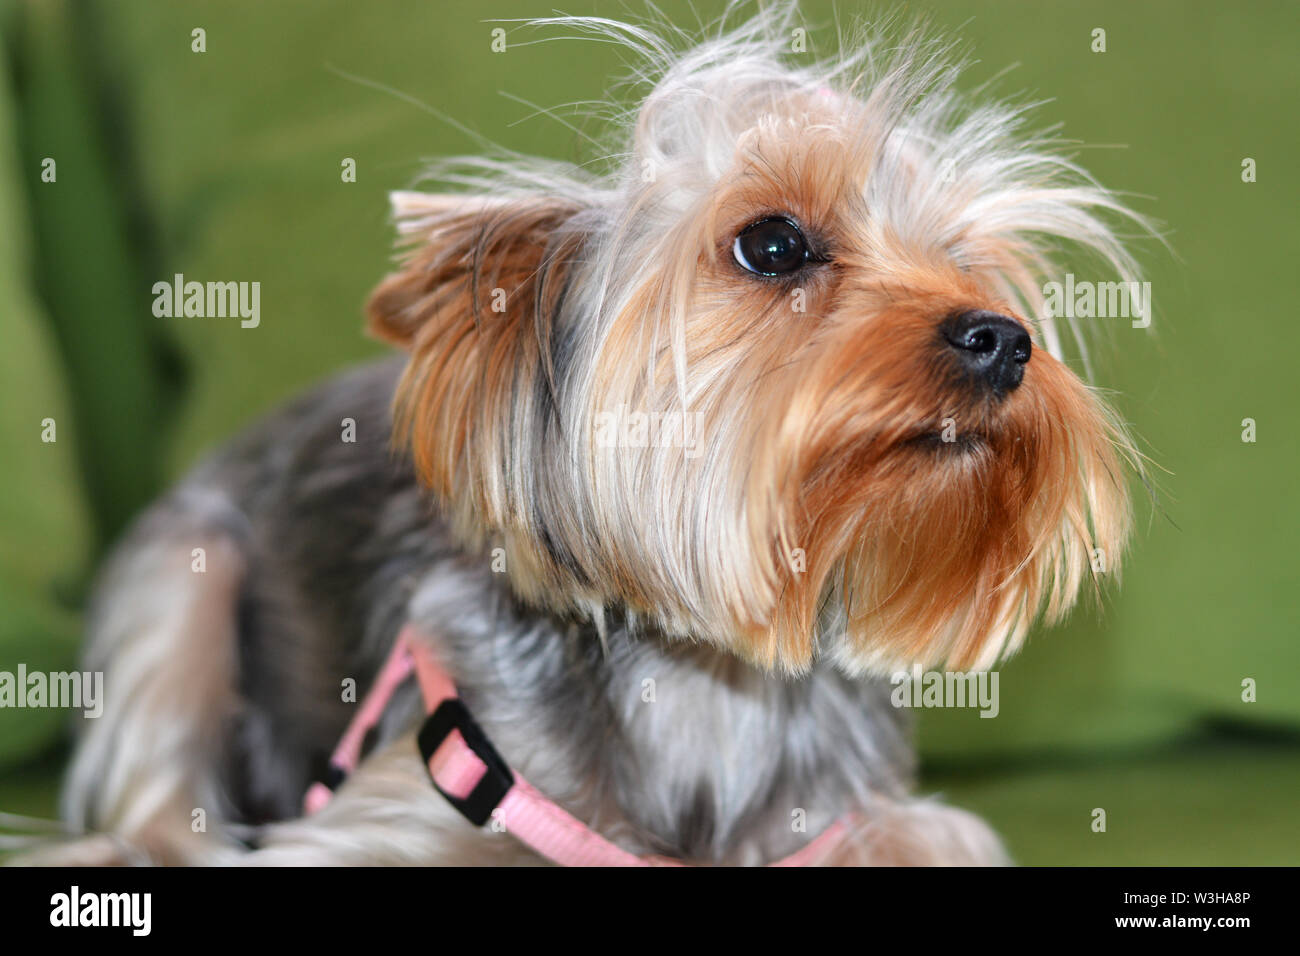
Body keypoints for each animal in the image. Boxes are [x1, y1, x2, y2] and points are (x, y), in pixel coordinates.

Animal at [45, 7, 1144, 863]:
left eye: (966, 265)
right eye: (773, 244)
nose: (1003, 339)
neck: (710, 681)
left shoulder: (864, 821)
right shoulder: (402, 802)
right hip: (182, 570)